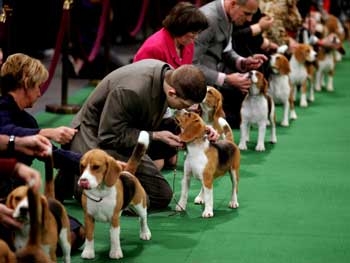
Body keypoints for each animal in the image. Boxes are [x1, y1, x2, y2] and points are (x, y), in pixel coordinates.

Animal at [78, 131, 150, 260]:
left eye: (96, 167)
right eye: (82, 166)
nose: (83, 181)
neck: (100, 192)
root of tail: (126, 172)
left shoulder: (114, 218)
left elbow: (114, 238)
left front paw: (115, 252)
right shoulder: (88, 217)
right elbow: (89, 236)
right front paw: (88, 252)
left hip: (140, 205)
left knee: (143, 219)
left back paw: (145, 233)